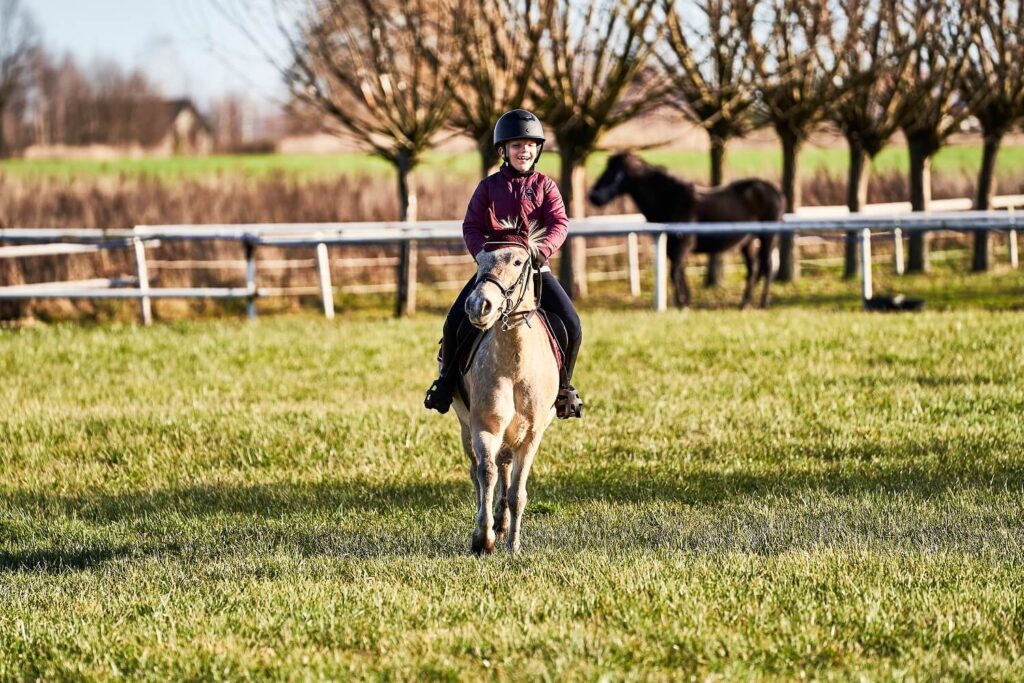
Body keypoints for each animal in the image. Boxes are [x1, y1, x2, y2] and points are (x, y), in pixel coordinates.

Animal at [452, 240, 557, 557]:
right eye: (479, 260)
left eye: (519, 262)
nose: (478, 305)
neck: (514, 362)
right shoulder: (485, 426)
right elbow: (486, 474)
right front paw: (482, 539)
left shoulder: (531, 435)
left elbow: (516, 493)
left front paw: (513, 545)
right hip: (466, 427)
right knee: (478, 470)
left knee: (505, 465)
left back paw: (502, 524)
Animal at [585, 152, 782, 309]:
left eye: (614, 172)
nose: (593, 196)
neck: (672, 200)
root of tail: (774, 191)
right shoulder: (673, 246)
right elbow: (679, 272)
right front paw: (685, 300)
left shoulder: (682, 244)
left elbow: (675, 272)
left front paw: (681, 303)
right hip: (747, 242)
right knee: (754, 269)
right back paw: (745, 303)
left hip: (768, 237)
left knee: (767, 267)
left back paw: (763, 302)